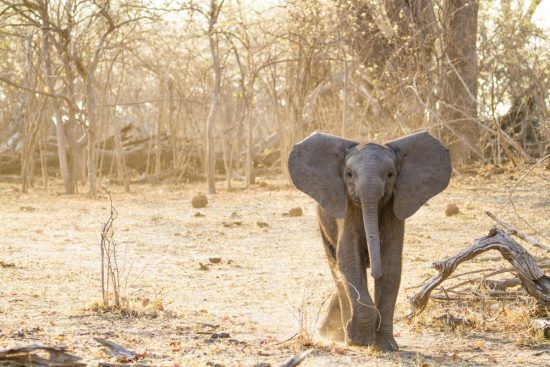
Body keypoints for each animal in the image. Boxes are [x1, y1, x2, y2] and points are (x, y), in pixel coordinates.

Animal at [288, 131, 452, 352]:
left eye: (390, 174)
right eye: (349, 174)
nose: (374, 270)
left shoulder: (394, 208)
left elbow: (391, 266)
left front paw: (386, 346)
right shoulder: (346, 210)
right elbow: (350, 260)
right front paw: (359, 339)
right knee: (336, 268)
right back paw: (339, 335)